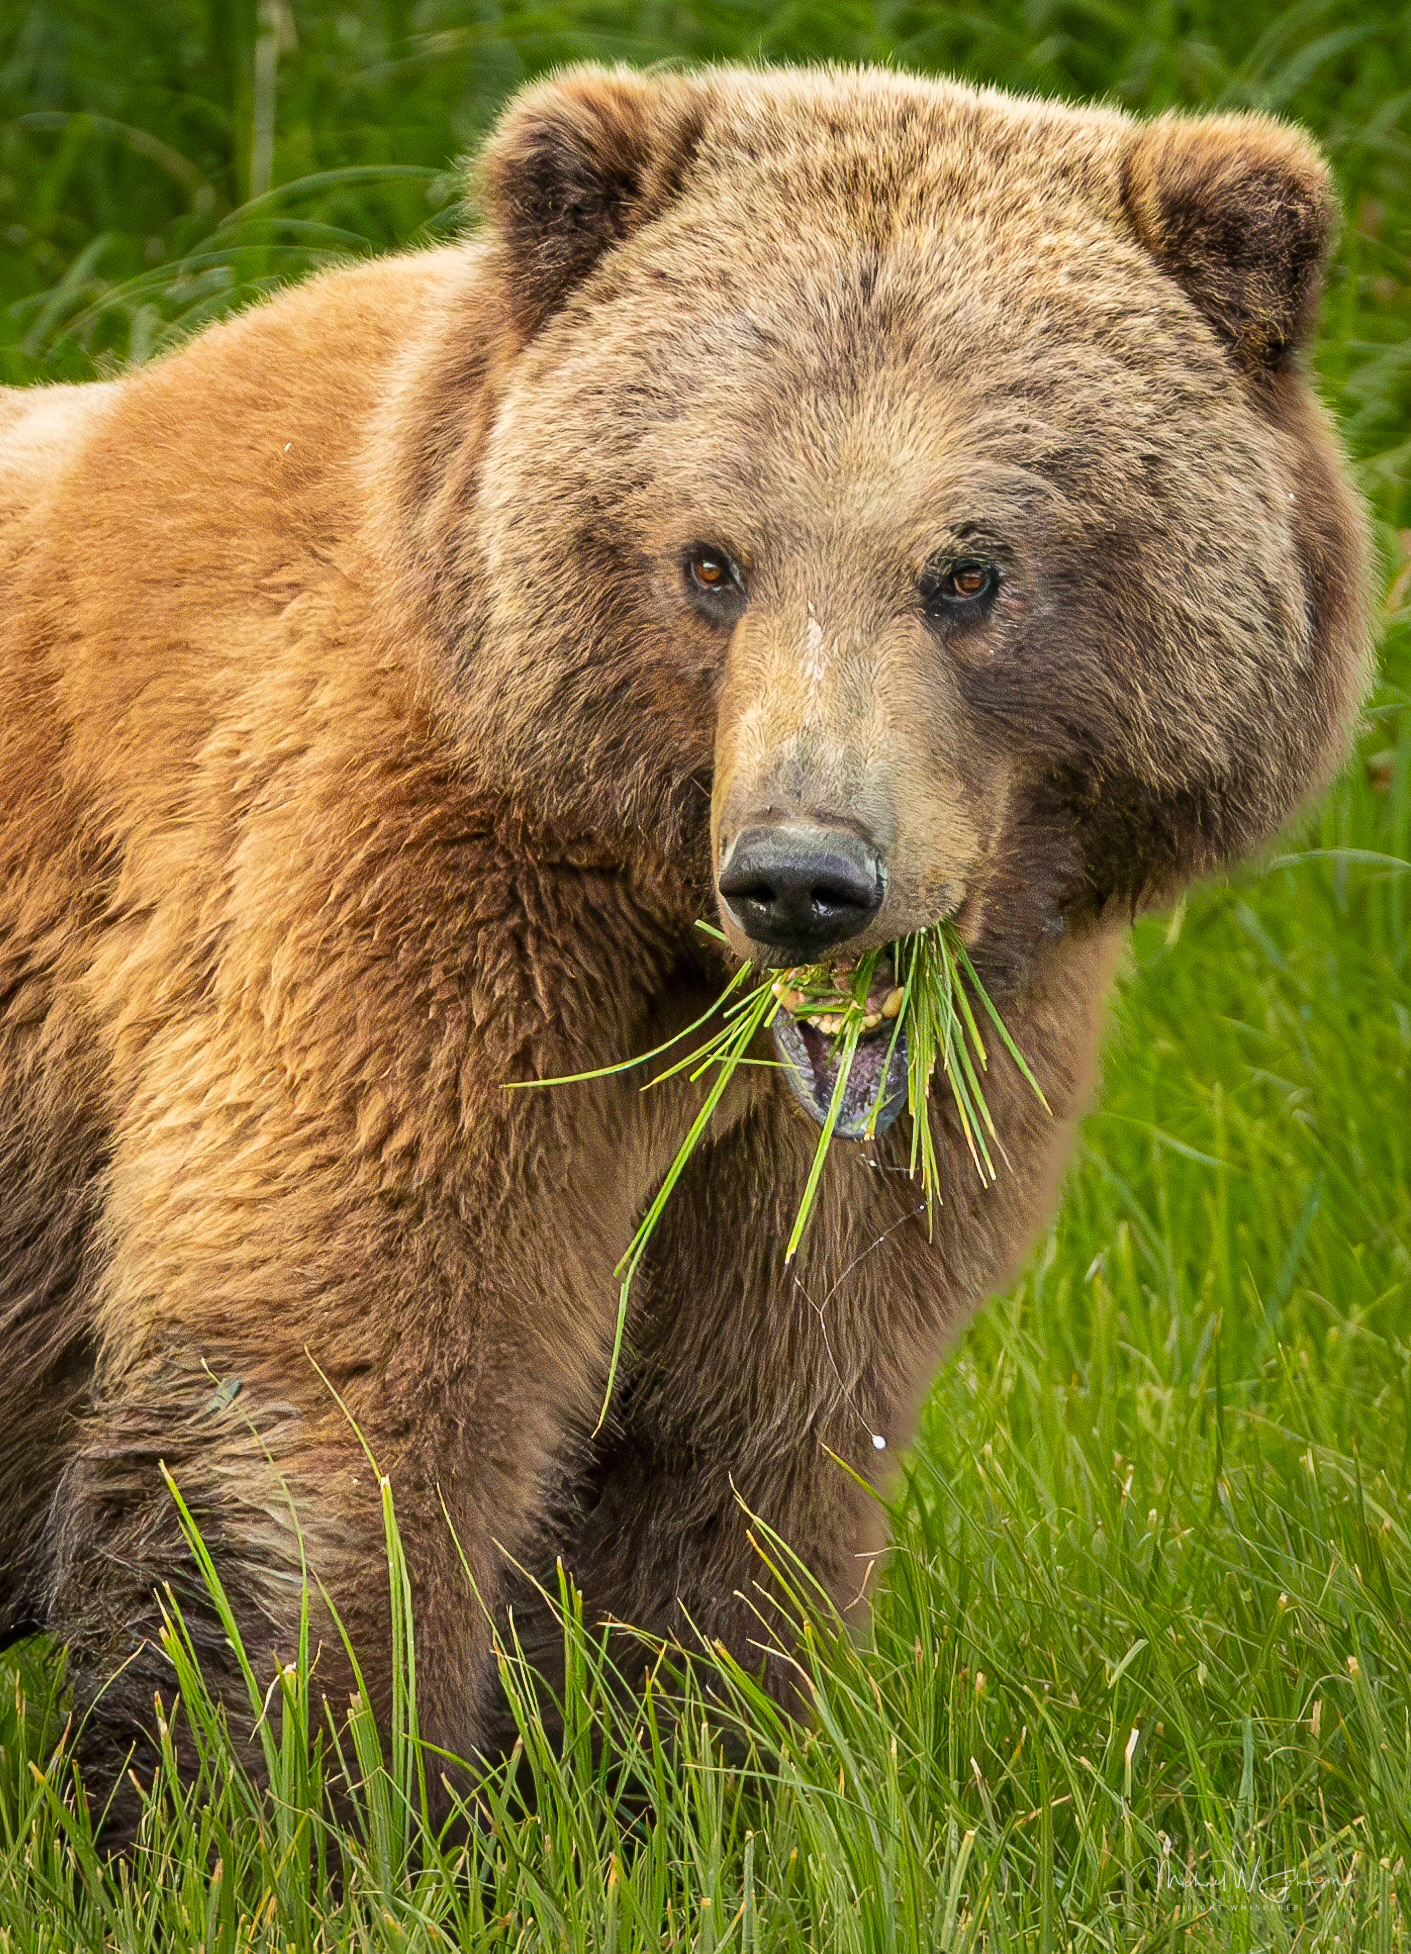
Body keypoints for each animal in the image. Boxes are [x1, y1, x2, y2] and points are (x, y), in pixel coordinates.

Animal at [0, 62, 1371, 1828]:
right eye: (708, 557)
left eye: (968, 567)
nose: (803, 876)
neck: (667, 932)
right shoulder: (410, 914)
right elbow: (343, 1366)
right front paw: (281, 1802)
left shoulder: (874, 1105)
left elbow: (734, 1435)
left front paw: (659, 1784)